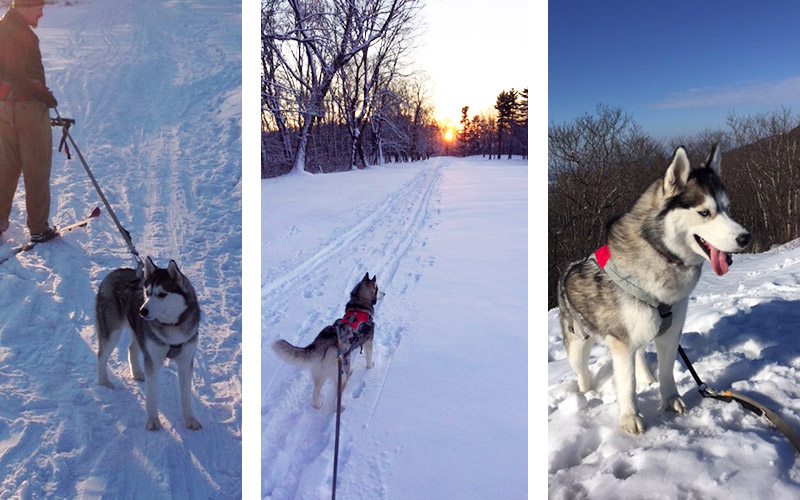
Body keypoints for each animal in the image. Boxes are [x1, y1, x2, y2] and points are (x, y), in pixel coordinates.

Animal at [95, 258, 202, 430]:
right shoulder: (153, 360)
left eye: (162, 294)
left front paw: (190, 419)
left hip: (138, 331)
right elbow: (151, 396)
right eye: (148, 292)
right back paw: (104, 382)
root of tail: (115, 272)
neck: (172, 327)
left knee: (132, 348)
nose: (142, 311)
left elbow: (186, 396)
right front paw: (153, 421)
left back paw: (137, 373)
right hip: (112, 332)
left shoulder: (186, 361)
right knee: (101, 356)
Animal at [274, 274, 382, 410]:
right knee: (336, 397)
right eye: (378, 289)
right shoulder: (368, 342)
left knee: (315, 393)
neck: (359, 305)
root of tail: (321, 342)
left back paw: (317, 405)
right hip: (341, 377)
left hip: (321, 373)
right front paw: (370, 367)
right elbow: (368, 359)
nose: (384, 293)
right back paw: (339, 409)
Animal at [556, 145, 752, 434]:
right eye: (705, 213)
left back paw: (647, 378)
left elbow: (666, 369)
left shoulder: (670, 331)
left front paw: (670, 399)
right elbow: (627, 384)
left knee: (639, 354)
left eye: (727, 209)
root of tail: (567, 271)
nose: (745, 237)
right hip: (579, 343)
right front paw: (630, 418)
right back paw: (587, 394)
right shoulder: (622, 342)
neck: (661, 253)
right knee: (582, 372)